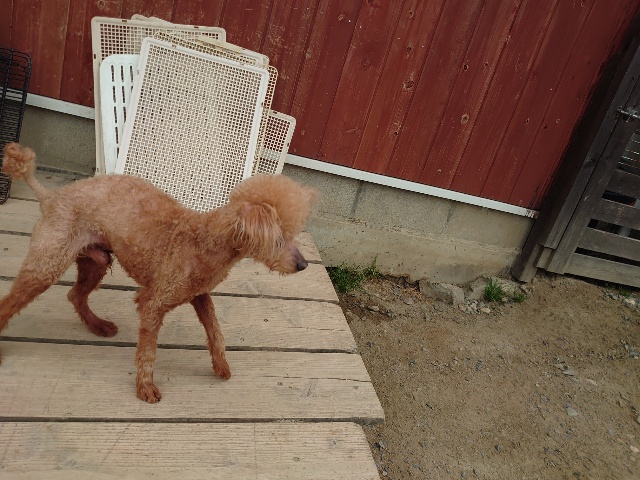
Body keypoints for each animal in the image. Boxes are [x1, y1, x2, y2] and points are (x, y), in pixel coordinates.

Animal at [0, 143, 316, 403]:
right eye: (279, 239)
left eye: (294, 234)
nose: (303, 265)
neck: (204, 240)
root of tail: (50, 197)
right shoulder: (152, 303)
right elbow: (148, 351)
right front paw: (145, 388)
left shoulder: (200, 295)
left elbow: (215, 331)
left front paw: (221, 366)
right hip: (46, 264)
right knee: (11, 303)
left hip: (96, 261)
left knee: (75, 295)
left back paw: (98, 326)